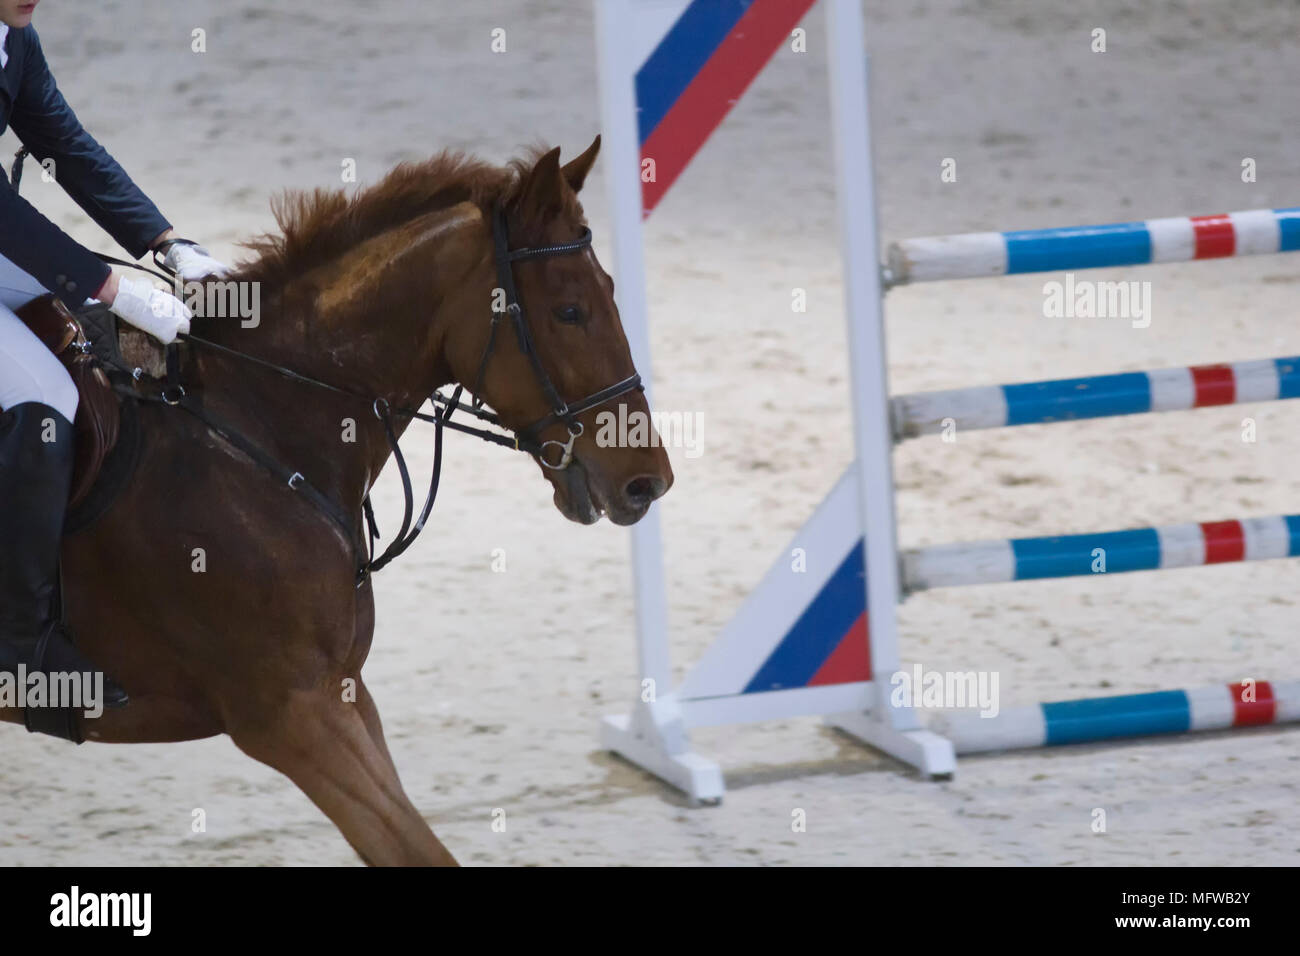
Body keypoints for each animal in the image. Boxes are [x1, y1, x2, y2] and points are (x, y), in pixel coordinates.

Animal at [0, 140, 670, 868]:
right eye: (569, 311)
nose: (648, 481)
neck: (260, 428)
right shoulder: (291, 716)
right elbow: (418, 848)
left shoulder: (343, 695)